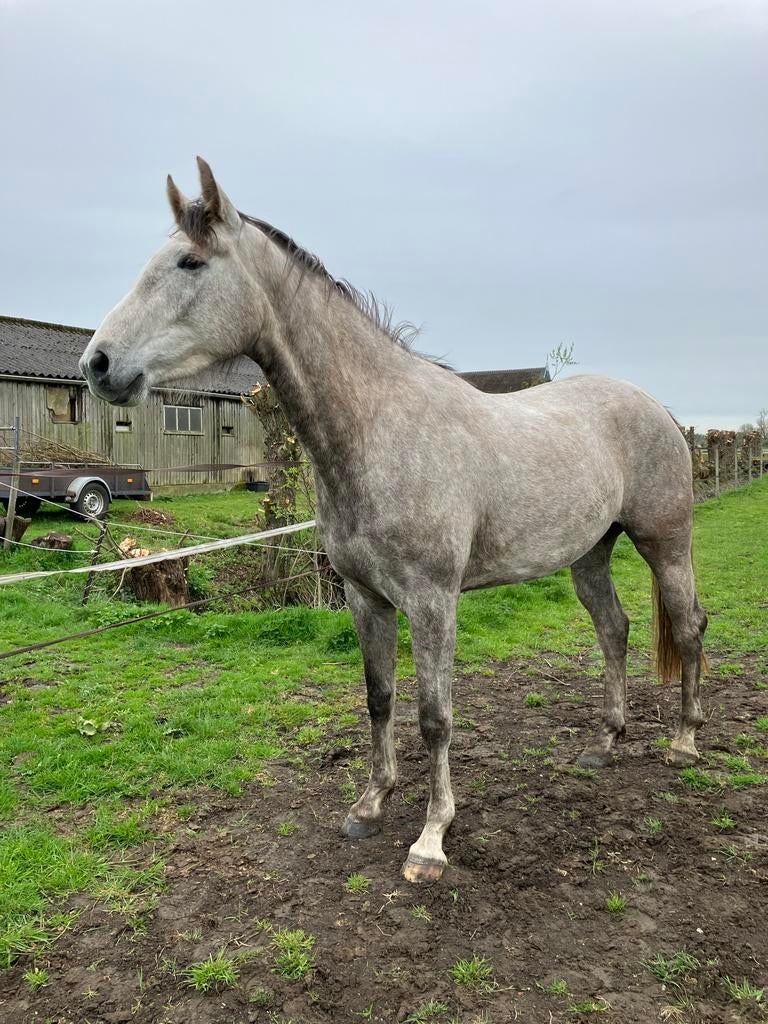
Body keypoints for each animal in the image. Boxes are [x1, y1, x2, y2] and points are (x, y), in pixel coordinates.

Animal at [81, 158, 707, 883]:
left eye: (190, 262)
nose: (98, 364)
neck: (378, 430)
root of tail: (657, 407)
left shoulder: (433, 601)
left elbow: (435, 716)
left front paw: (430, 840)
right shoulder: (365, 596)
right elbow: (379, 696)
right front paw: (370, 803)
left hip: (666, 543)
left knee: (687, 627)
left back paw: (684, 742)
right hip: (591, 554)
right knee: (615, 630)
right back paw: (605, 742)